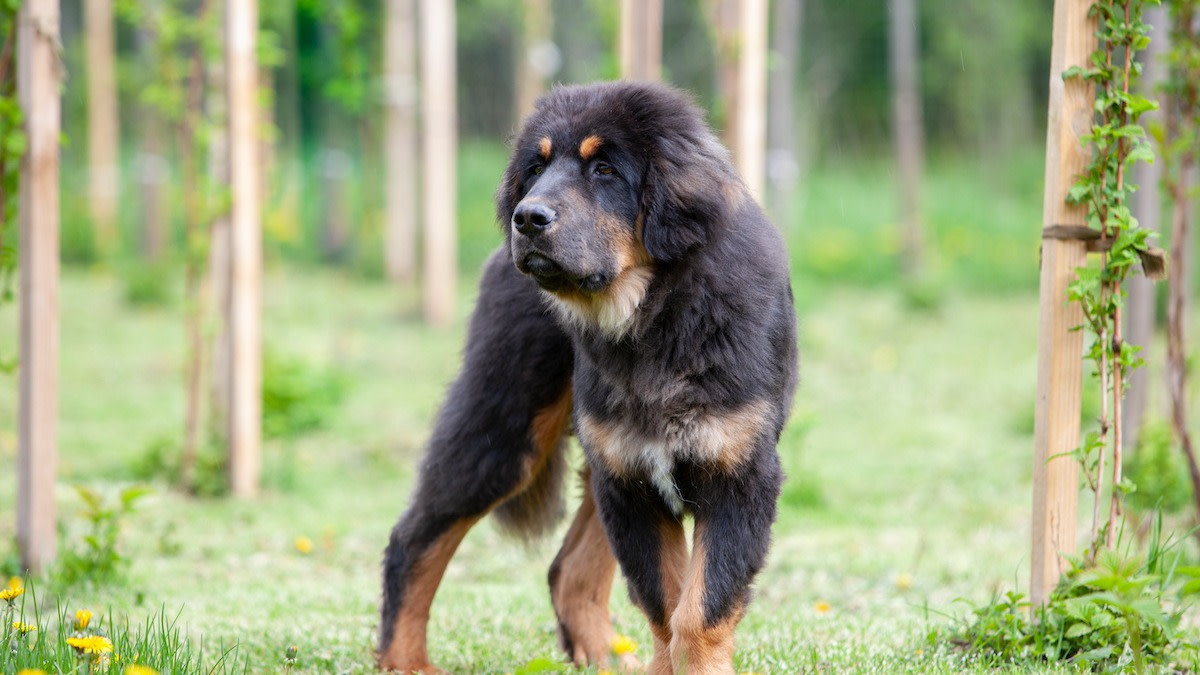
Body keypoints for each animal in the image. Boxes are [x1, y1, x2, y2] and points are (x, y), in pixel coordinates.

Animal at [379, 79, 796, 672]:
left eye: (605, 170)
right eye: (535, 168)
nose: (527, 218)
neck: (654, 318)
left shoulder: (733, 473)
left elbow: (697, 614)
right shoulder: (632, 480)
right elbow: (668, 608)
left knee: (568, 569)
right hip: (507, 430)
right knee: (414, 539)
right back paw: (405, 660)